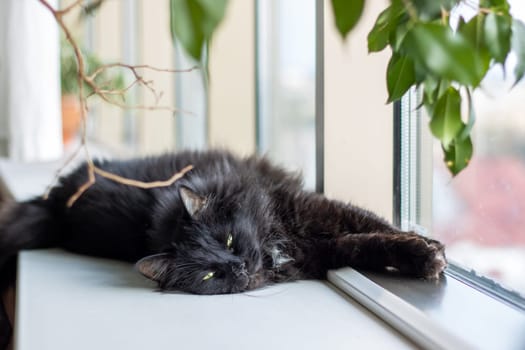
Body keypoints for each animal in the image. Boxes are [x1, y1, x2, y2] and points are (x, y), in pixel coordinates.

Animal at [0, 150, 446, 348]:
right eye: (211, 274)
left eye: (229, 240)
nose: (241, 266)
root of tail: (55, 205)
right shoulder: (321, 253)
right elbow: (362, 244)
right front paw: (423, 255)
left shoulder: (309, 209)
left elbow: (371, 224)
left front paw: (427, 248)